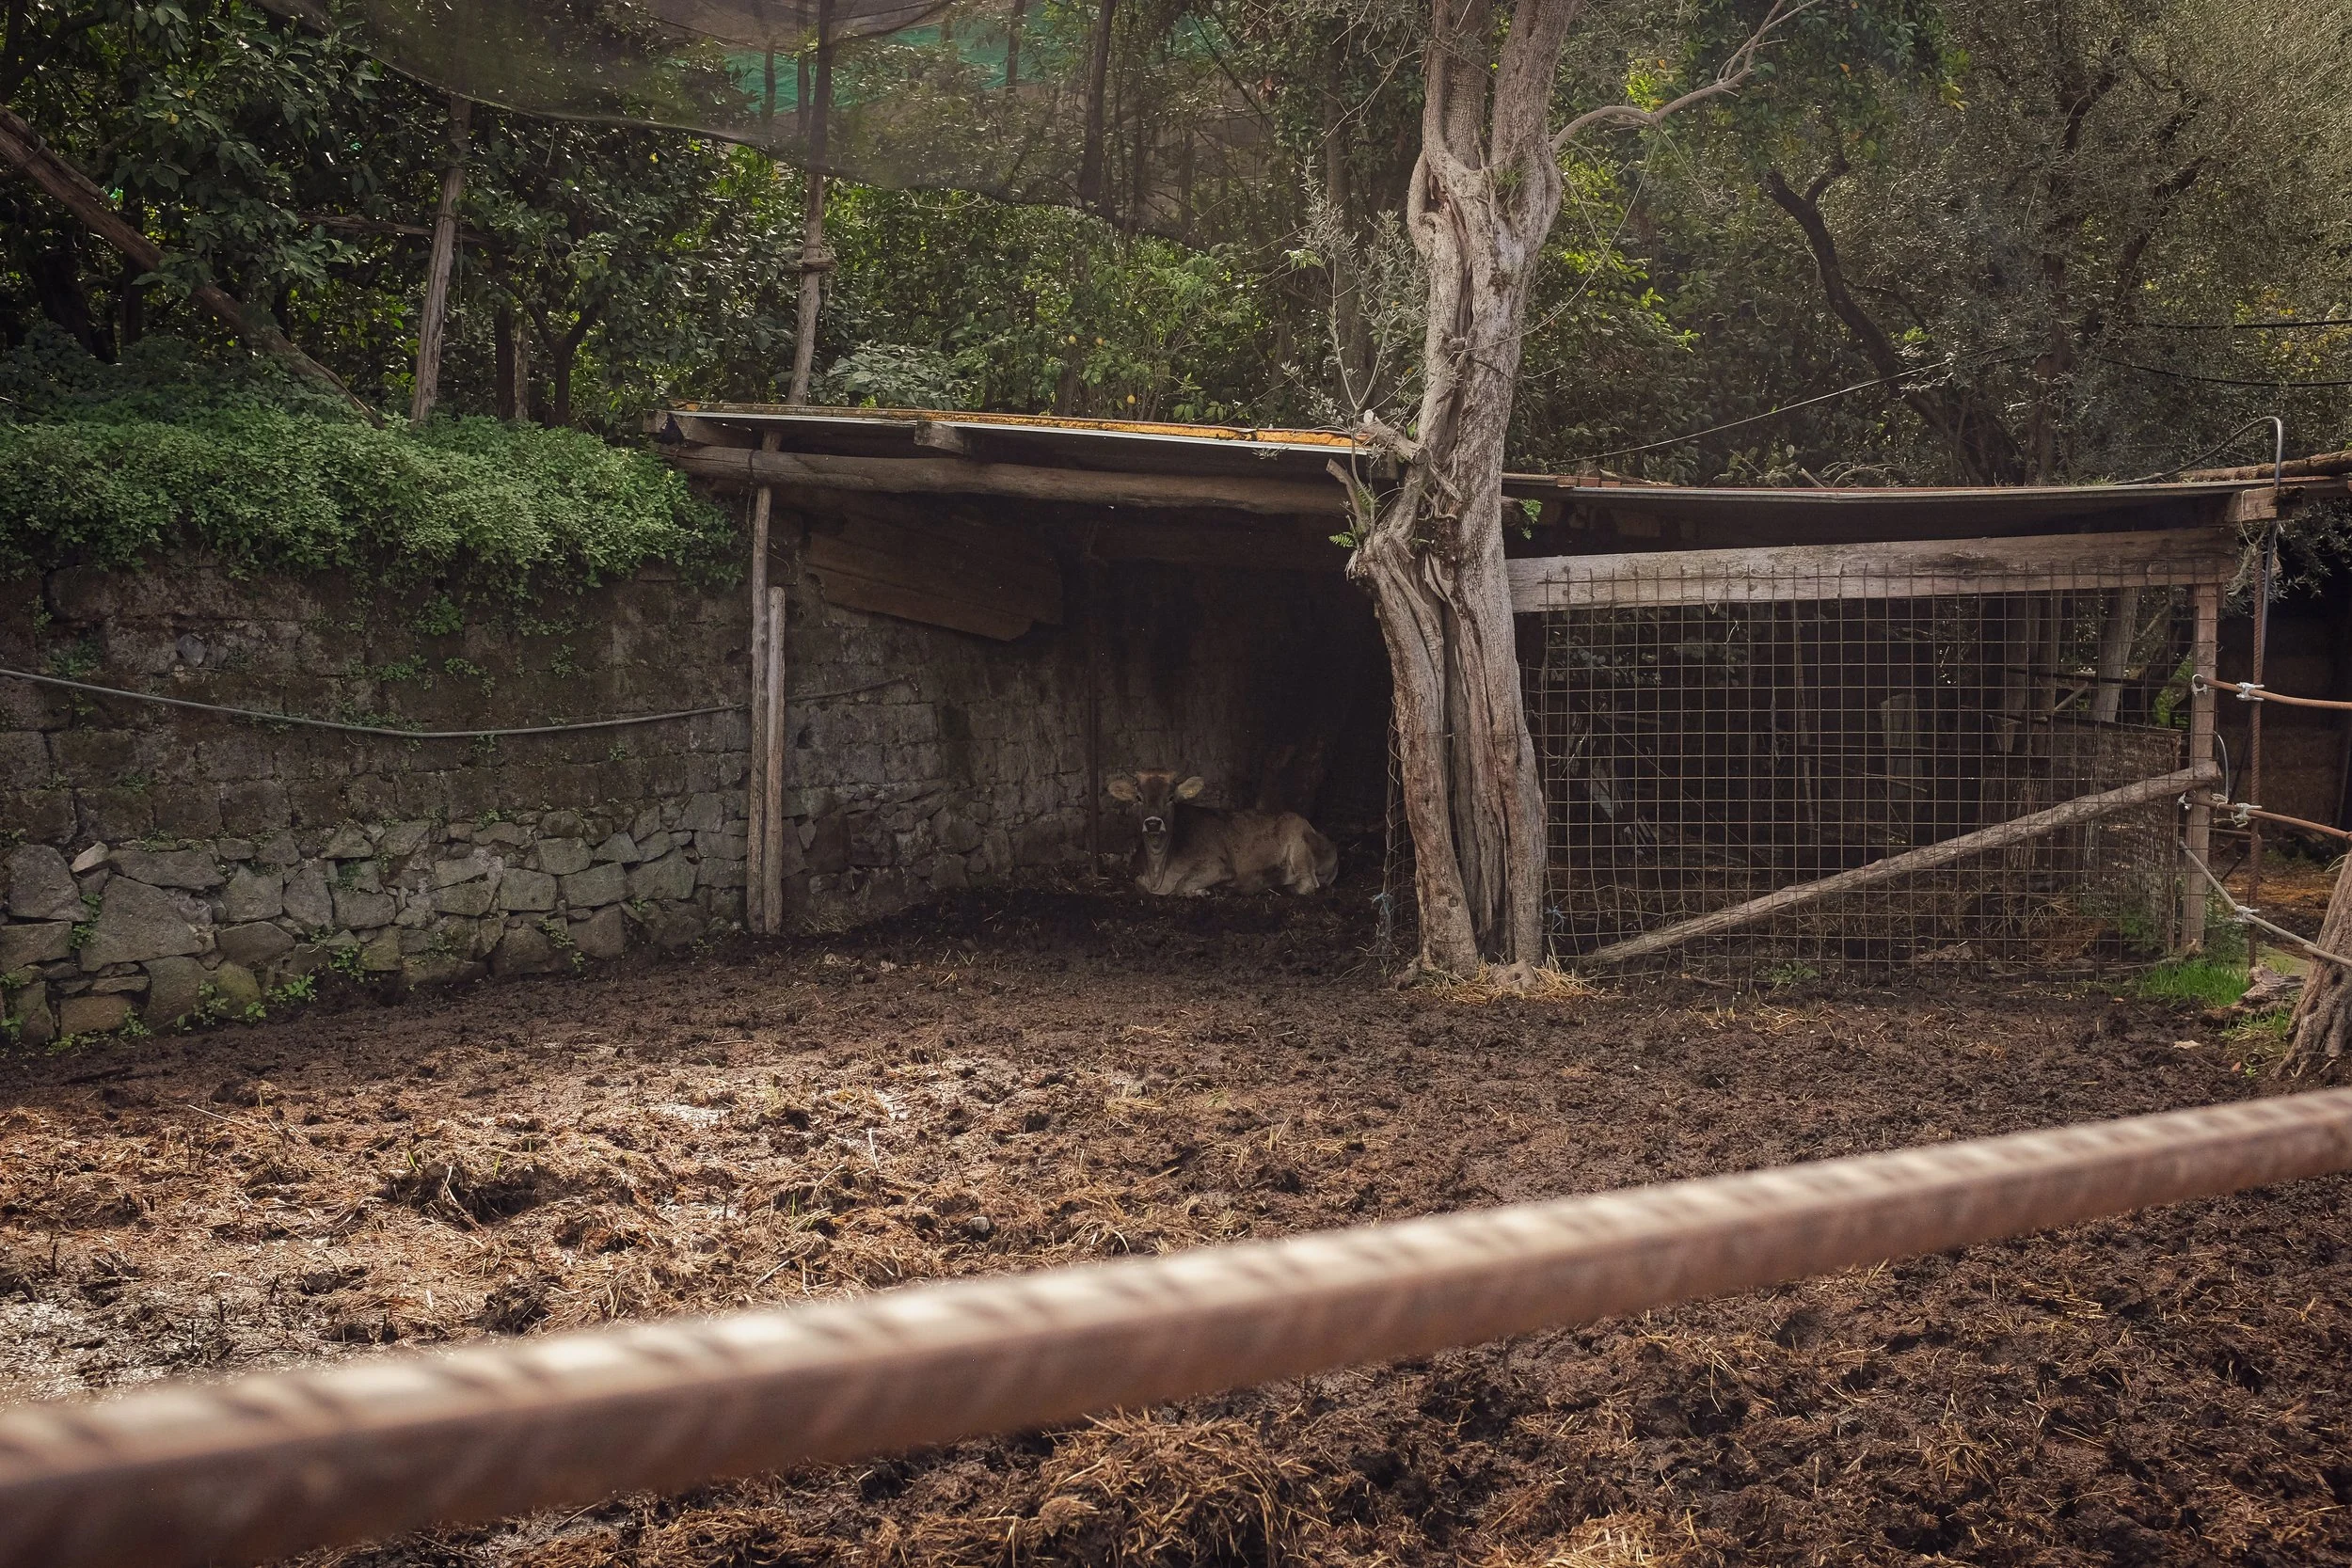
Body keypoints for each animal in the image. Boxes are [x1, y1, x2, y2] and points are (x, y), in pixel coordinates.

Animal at [1106, 770, 1339, 896]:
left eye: (1171, 798)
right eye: (1138, 798)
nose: (1153, 823)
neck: (1159, 873)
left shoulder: (1218, 866)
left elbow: (1180, 887)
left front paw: (1201, 892)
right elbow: (1139, 884)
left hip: (1298, 841)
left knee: (1306, 884)